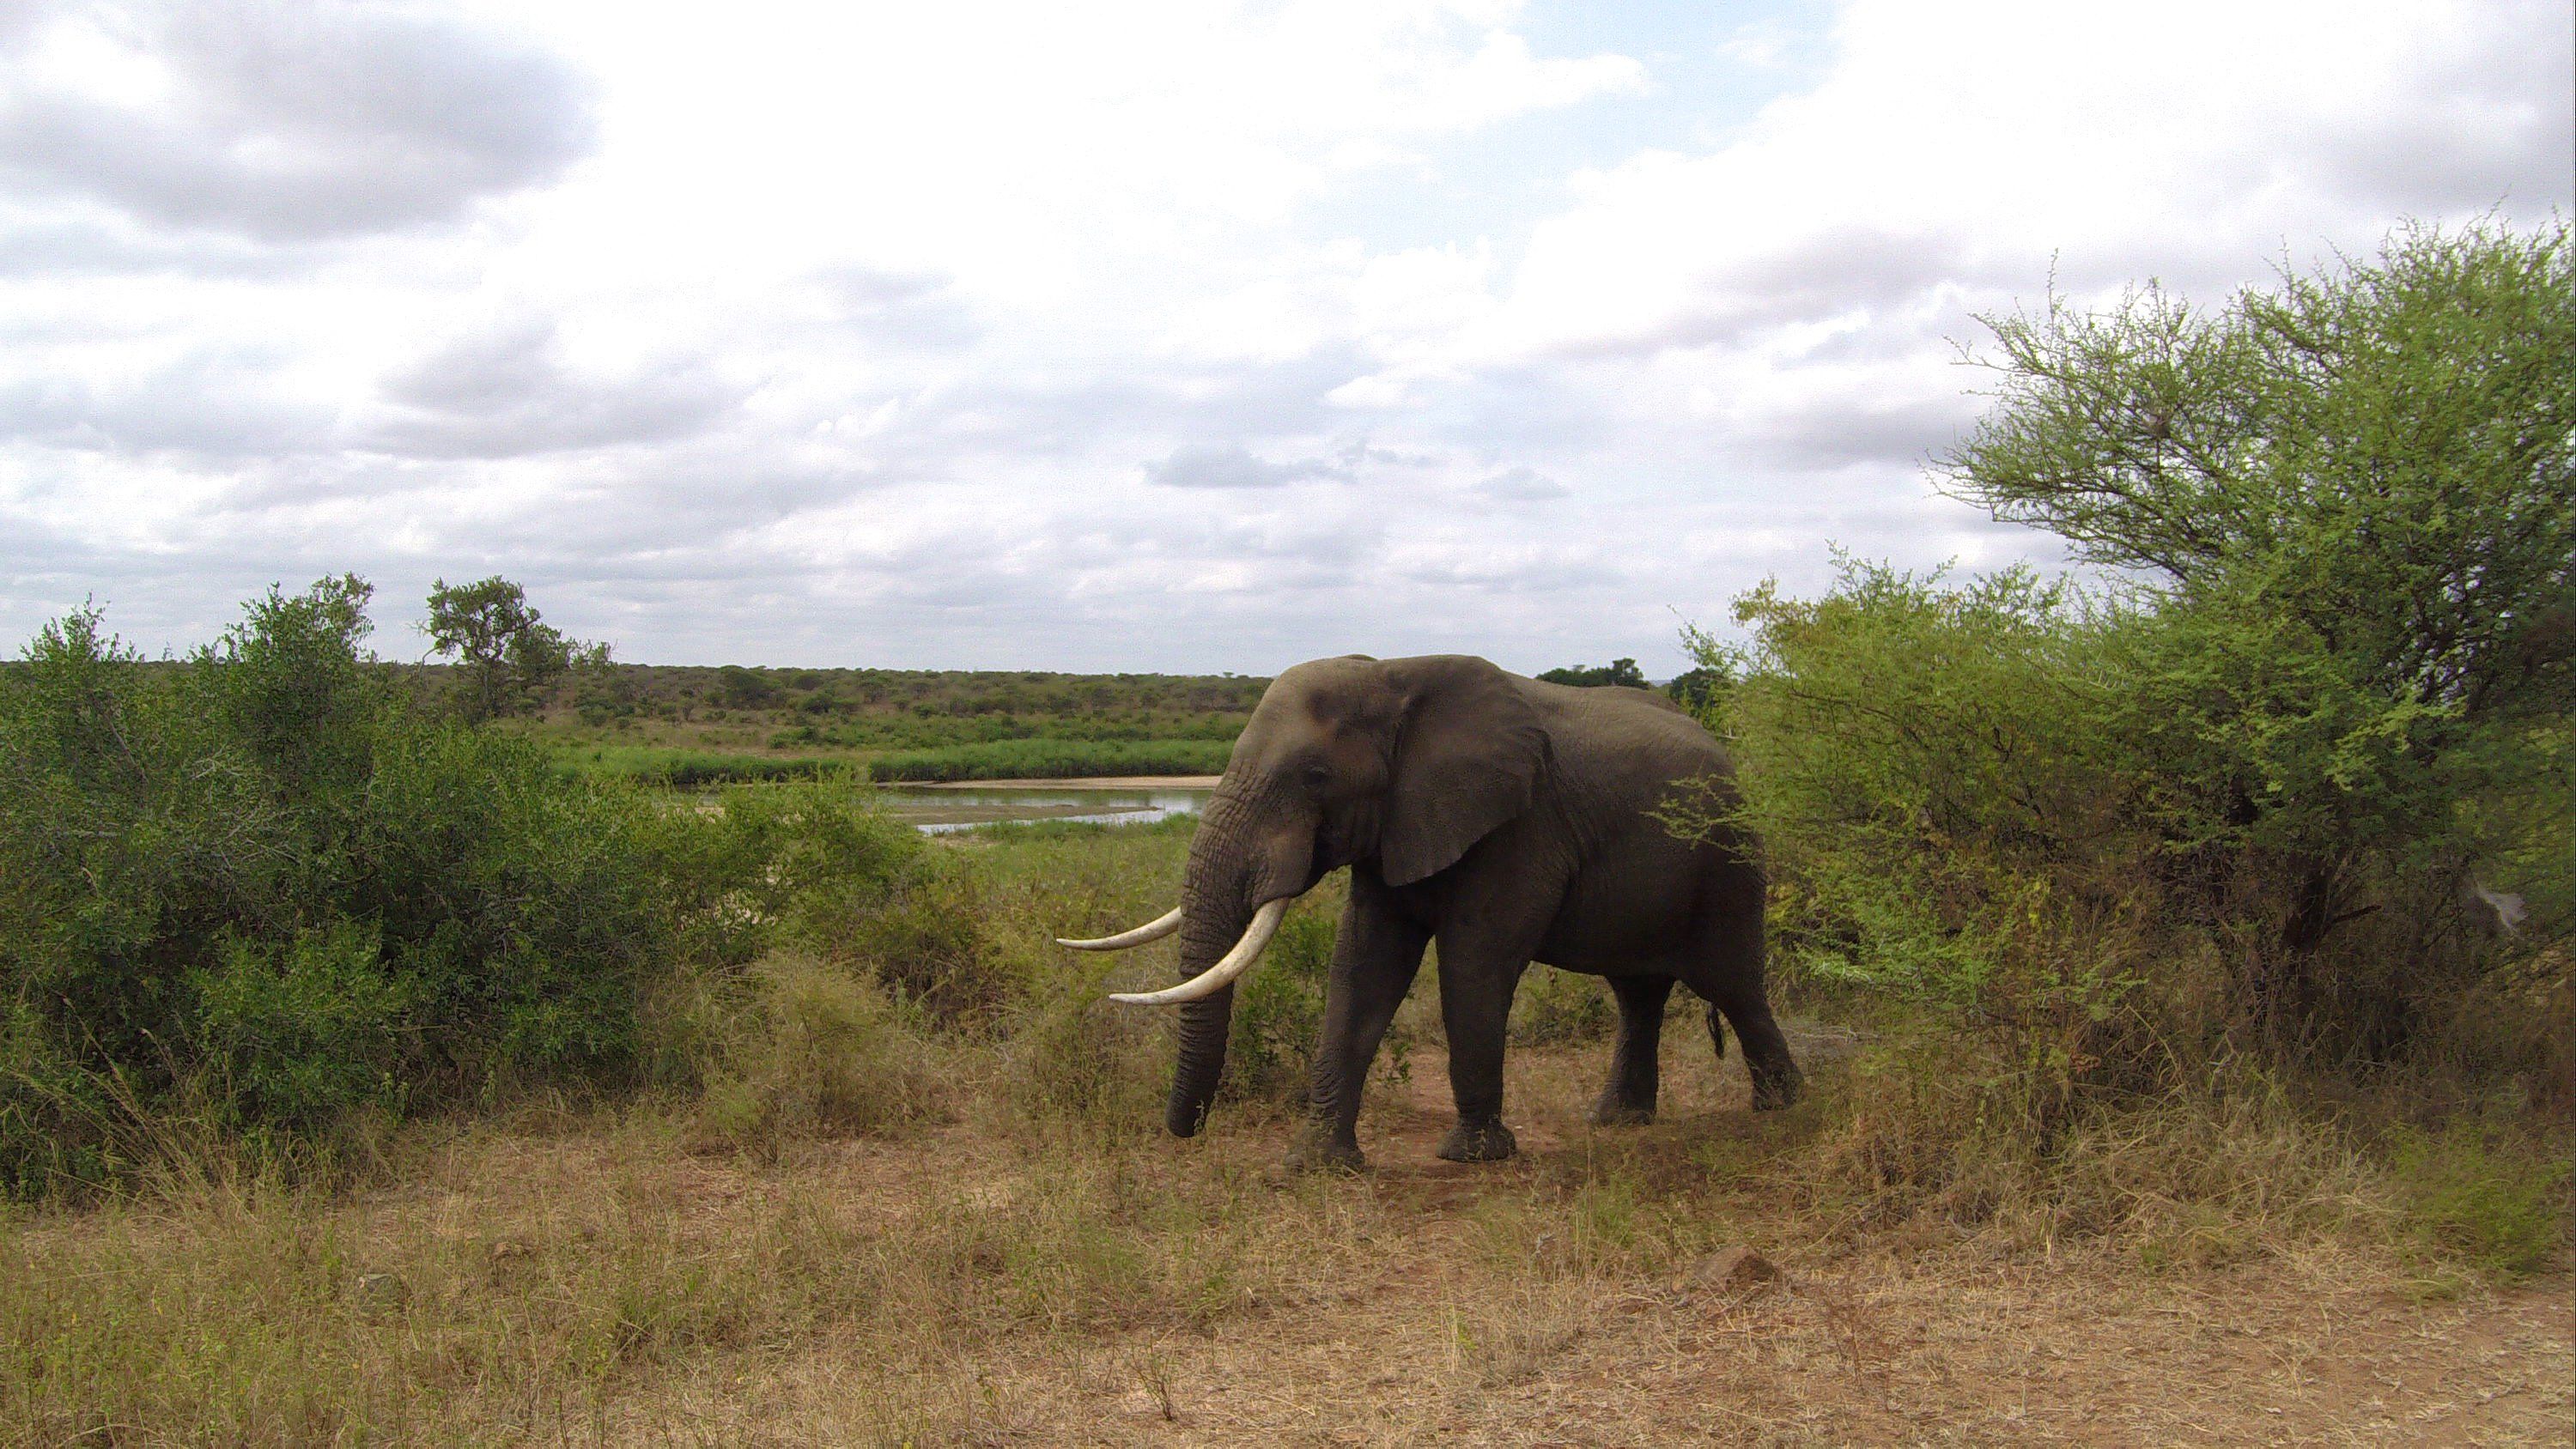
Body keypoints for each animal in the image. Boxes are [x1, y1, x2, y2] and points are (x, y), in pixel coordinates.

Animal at [1056, 651, 1803, 1173]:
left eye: (1315, 778)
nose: (1185, 1133)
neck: (1393, 675)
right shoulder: (1396, 825)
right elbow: (1363, 968)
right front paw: (1318, 1165)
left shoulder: (1518, 824)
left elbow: (1472, 964)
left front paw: (1473, 1156)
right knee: (1638, 993)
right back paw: (1619, 1122)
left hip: (1731, 862)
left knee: (1733, 985)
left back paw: (1783, 1107)